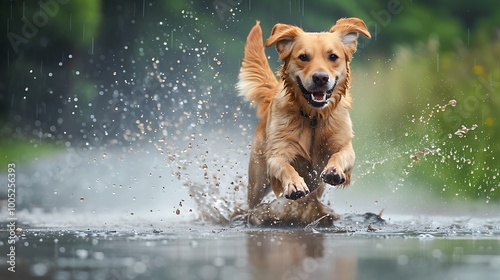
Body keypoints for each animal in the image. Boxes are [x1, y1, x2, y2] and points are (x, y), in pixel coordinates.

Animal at [238, 17, 372, 224]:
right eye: (303, 57)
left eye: (333, 57)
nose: (320, 78)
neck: (314, 117)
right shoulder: (276, 154)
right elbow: (284, 166)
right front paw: (294, 184)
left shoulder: (344, 146)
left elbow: (340, 155)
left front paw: (334, 170)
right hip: (257, 182)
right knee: (253, 204)